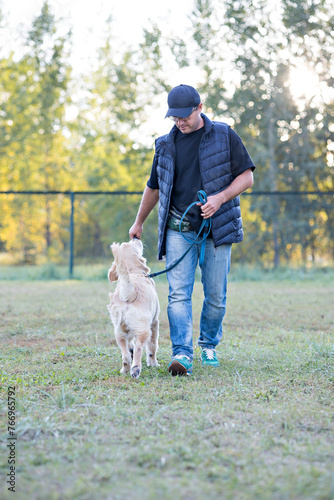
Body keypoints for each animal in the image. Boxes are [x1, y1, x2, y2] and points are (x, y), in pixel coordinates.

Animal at [107, 238, 159, 378]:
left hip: (118, 331)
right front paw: (153, 363)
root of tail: (129, 292)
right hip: (144, 329)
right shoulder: (154, 322)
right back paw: (135, 369)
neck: (133, 273)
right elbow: (152, 346)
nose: (135, 238)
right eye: (133, 244)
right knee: (139, 348)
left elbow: (130, 346)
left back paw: (125, 369)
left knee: (125, 355)